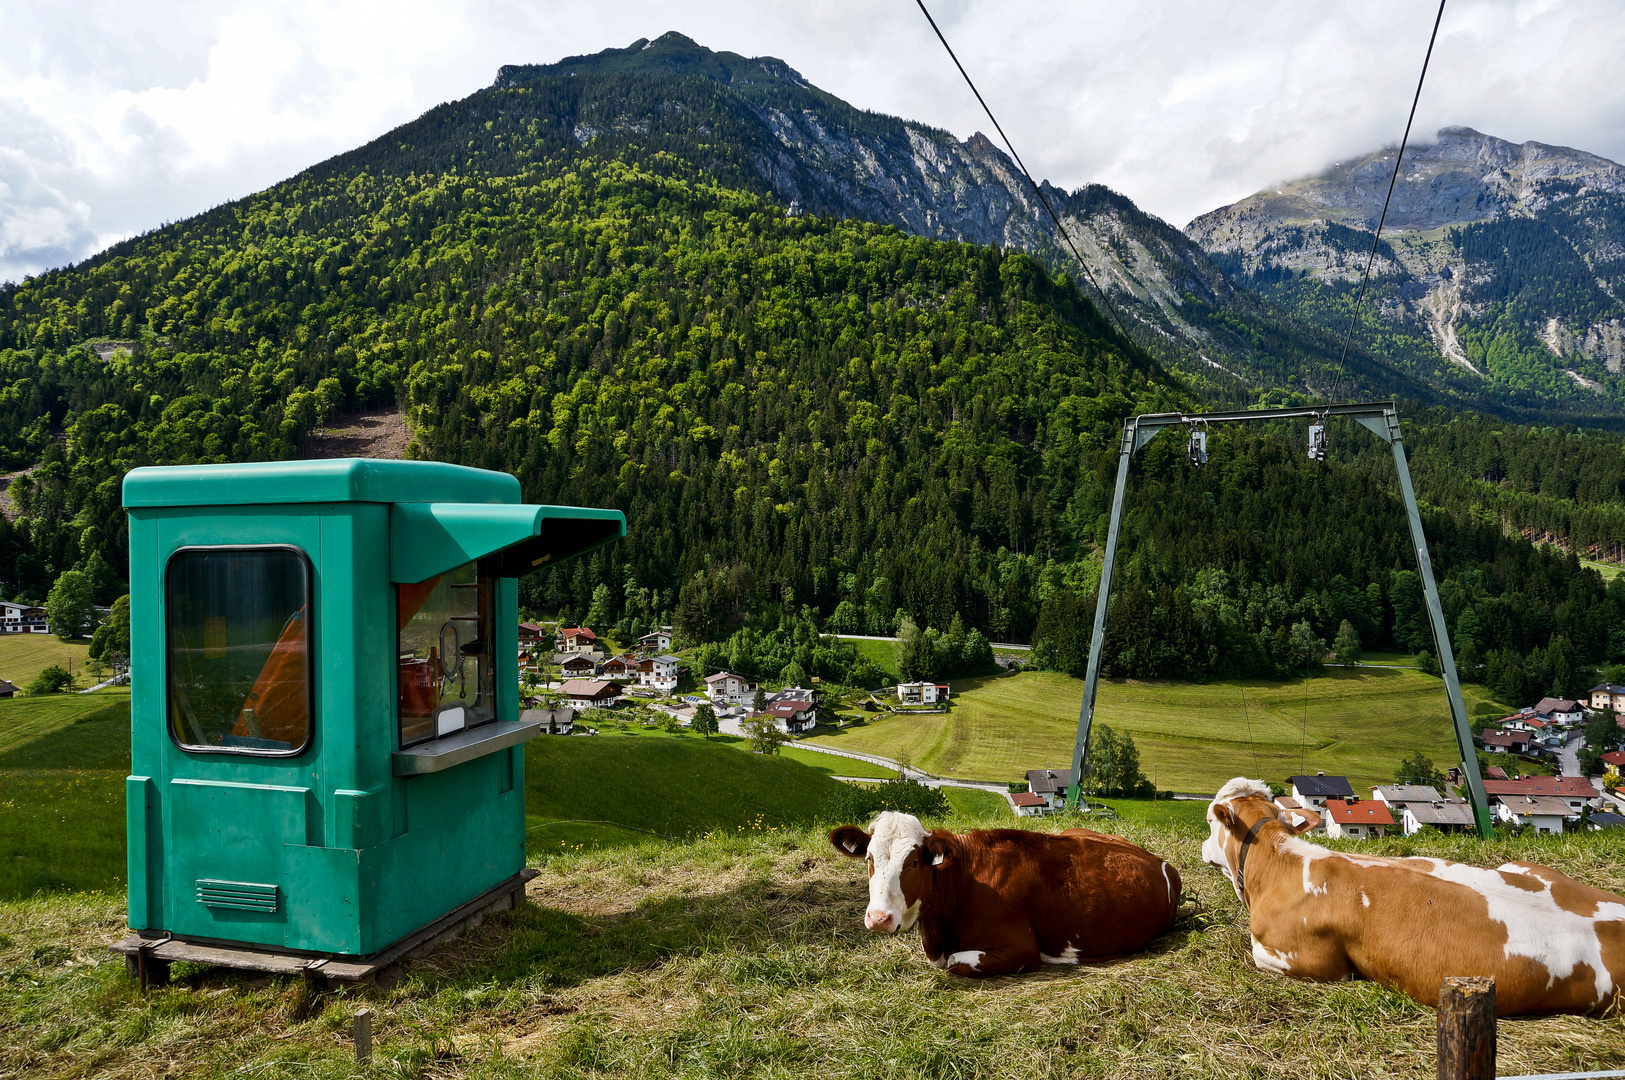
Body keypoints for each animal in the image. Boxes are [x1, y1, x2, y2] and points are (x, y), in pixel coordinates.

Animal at [832, 808, 1176, 974]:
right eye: (869, 859)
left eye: (914, 862)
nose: (879, 918)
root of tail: (1159, 860)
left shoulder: (1021, 948)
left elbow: (956, 961)